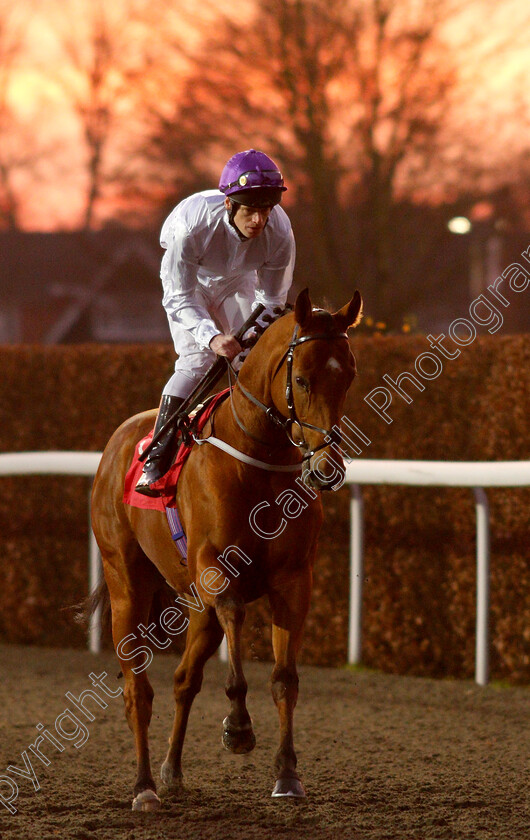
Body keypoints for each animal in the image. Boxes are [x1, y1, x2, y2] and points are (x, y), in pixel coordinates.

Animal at [92, 288, 364, 808]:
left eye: (349, 375)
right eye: (302, 378)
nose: (327, 468)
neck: (258, 456)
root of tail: (116, 442)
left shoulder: (294, 581)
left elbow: (284, 678)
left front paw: (287, 775)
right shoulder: (216, 571)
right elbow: (237, 635)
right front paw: (238, 728)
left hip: (195, 605)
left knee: (183, 680)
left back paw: (171, 771)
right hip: (126, 586)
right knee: (138, 691)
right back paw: (144, 787)